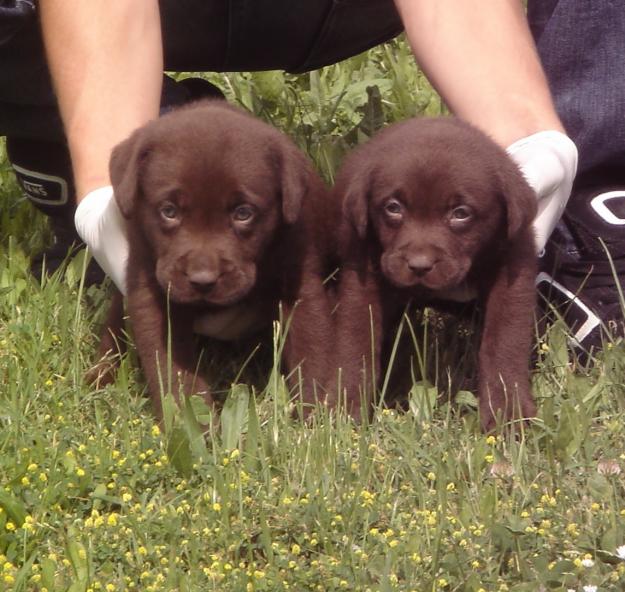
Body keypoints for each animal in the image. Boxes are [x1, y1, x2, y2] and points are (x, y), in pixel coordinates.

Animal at [336, 117, 536, 430]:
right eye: (393, 208)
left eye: (460, 213)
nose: (419, 265)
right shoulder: (362, 270)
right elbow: (356, 338)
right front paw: (345, 406)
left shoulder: (514, 268)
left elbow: (505, 341)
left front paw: (508, 413)